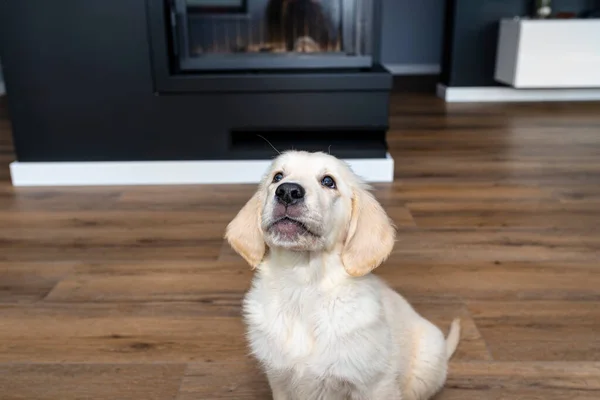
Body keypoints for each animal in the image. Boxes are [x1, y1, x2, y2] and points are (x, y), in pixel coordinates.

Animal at [225, 151, 460, 400]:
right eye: (277, 177)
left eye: (329, 181)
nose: (287, 191)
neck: (303, 285)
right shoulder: (280, 381)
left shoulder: (374, 384)